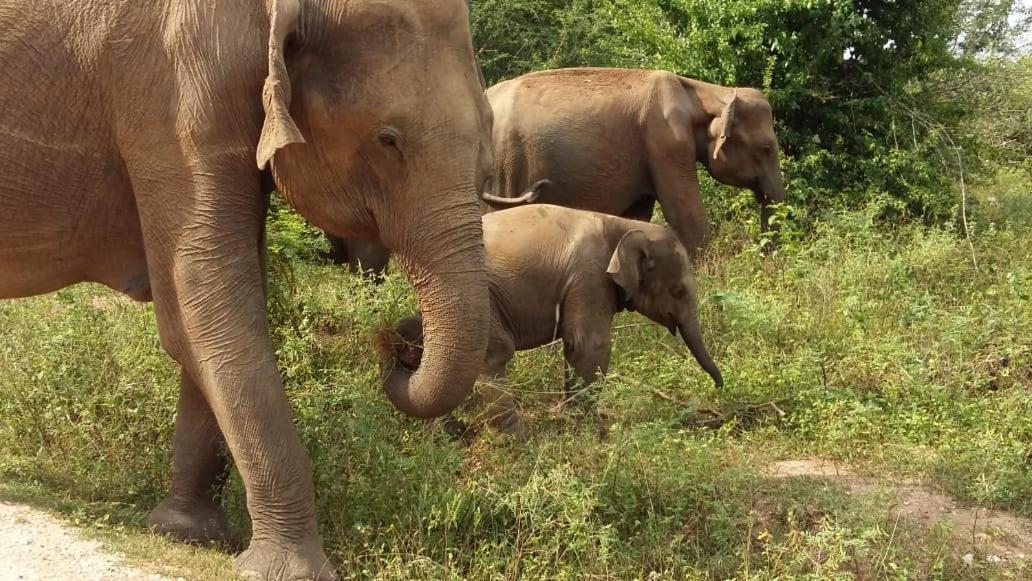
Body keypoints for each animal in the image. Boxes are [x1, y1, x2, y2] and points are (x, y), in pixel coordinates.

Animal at [0, 2, 495, 577]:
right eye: (387, 138)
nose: (398, 346)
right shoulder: (177, 96)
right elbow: (203, 308)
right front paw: (290, 570)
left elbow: (222, 304)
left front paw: (186, 533)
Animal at [381, 204, 726, 437]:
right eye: (679, 291)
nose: (718, 391)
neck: (624, 225)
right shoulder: (589, 276)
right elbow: (589, 345)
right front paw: (588, 427)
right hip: (479, 298)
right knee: (494, 354)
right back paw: (515, 437)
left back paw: (450, 431)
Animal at [482, 67, 788, 252]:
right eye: (766, 149)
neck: (706, 92)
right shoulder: (667, 140)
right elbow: (686, 216)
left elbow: (637, 217)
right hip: (508, 164)